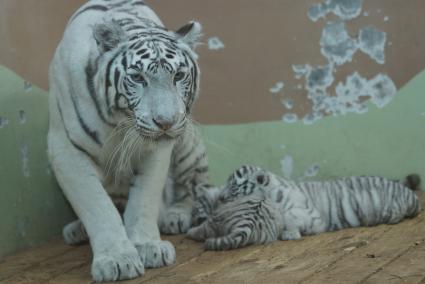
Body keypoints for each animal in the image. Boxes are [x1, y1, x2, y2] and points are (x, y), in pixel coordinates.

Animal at [48, 0, 209, 280]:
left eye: (178, 76)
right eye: (137, 78)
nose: (165, 122)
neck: (120, 122)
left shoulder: (157, 150)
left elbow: (144, 199)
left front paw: (147, 246)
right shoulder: (66, 151)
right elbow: (97, 206)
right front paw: (117, 259)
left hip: (188, 145)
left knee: (193, 186)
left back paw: (175, 215)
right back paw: (77, 230)